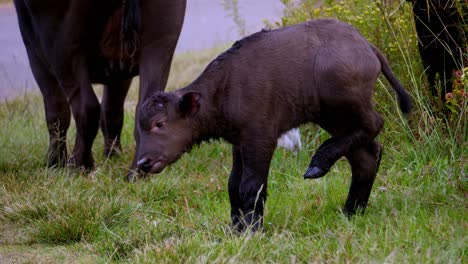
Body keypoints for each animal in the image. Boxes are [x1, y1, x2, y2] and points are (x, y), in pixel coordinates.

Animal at [14, 0, 186, 171]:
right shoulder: (119, 70)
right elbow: (111, 112)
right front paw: (112, 155)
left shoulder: (36, 56)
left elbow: (56, 113)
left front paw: (54, 163)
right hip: (161, 41)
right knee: (143, 109)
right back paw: (138, 169)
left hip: (60, 45)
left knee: (85, 107)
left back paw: (78, 165)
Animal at [135, 18, 410, 232]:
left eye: (160, 123)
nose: (143, 163)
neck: (224, 89)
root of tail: (366, 46)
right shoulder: (240, 143)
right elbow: (233, 185)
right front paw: (236, 229)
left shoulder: (260, 139)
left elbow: (251, 186)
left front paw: (252, 230)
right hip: (332, 117)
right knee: (366, 155)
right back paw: (351, 210)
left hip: (343, 102)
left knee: (375, 124)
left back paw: (319, 163)